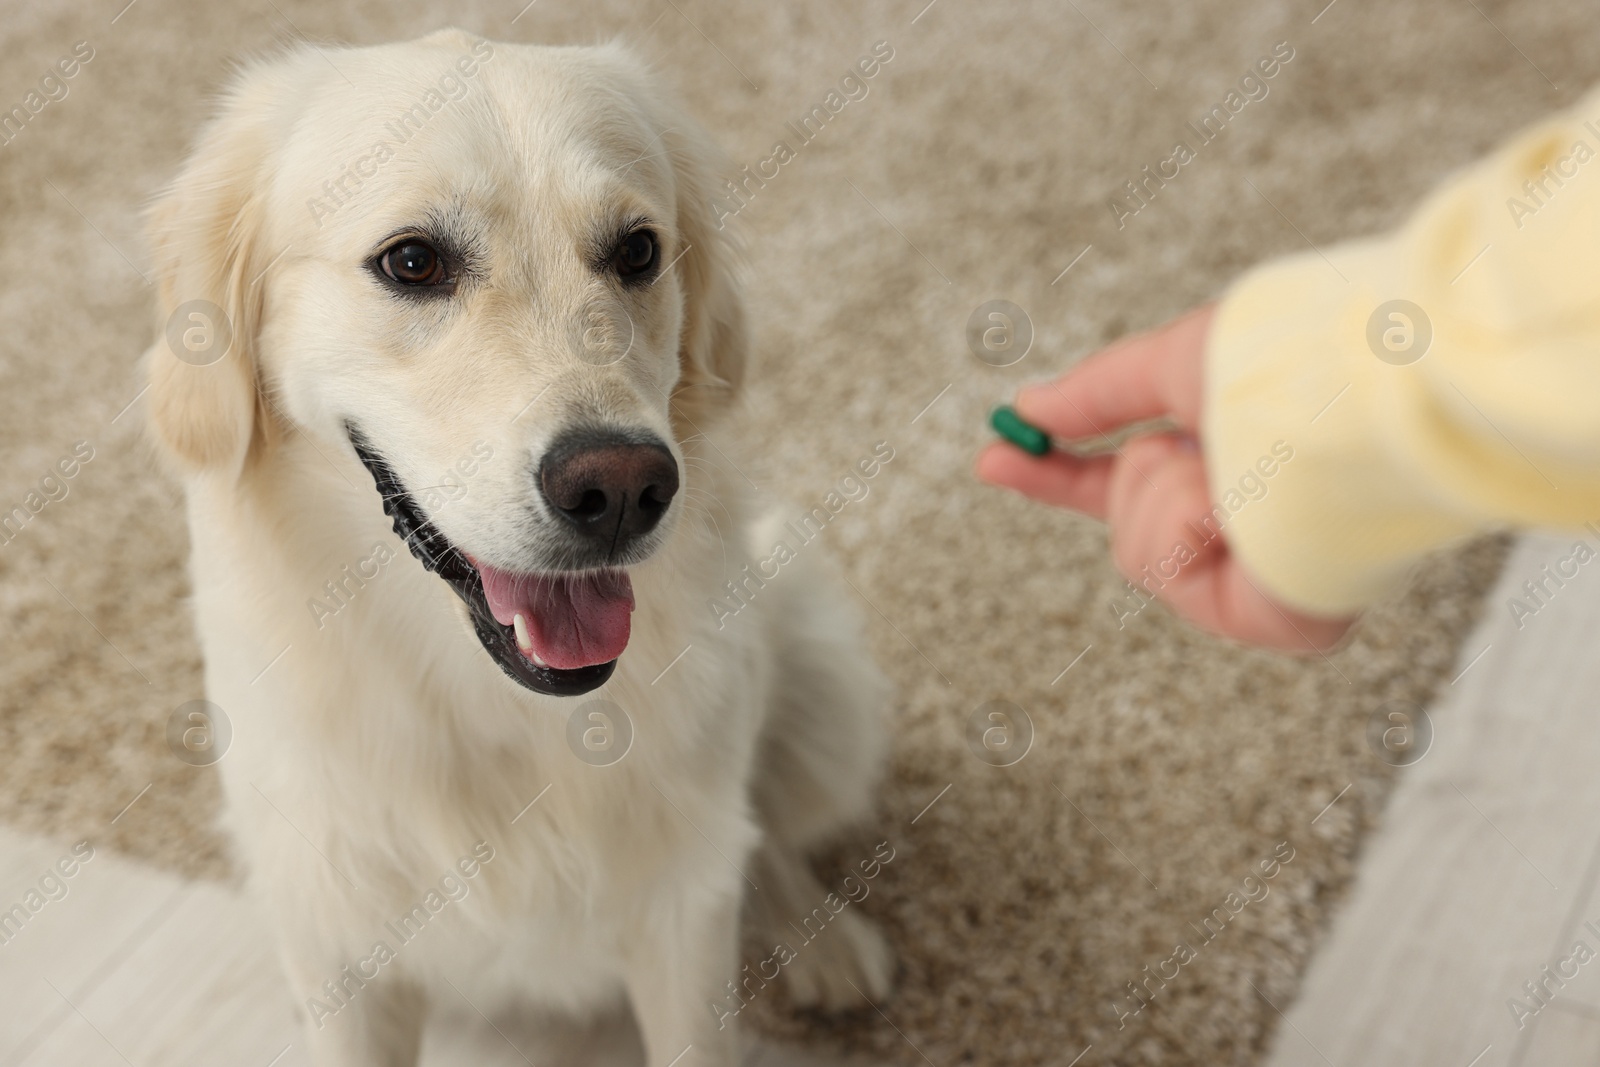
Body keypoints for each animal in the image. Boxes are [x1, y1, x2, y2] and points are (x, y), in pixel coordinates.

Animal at [144, 29, 896, 1062]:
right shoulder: (336, 944)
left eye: (637, 250)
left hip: (824, 690)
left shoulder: (679, 929)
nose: (620, 489)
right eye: (412, 261)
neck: (493, 709)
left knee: (761, 834)